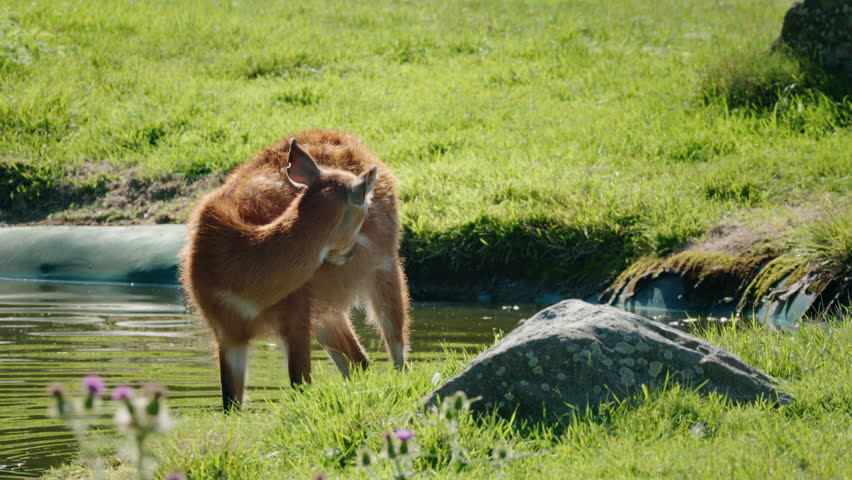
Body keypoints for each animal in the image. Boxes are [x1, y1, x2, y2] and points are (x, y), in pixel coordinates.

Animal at [179, 130, 410, 412]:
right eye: (363, 209)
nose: (350, 252)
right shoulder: (226, 332)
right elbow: (230, 404)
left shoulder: (296, 318)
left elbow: (301, 385)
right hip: (328, 311)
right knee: (360, 363)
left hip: (385, 267)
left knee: (395, 351)